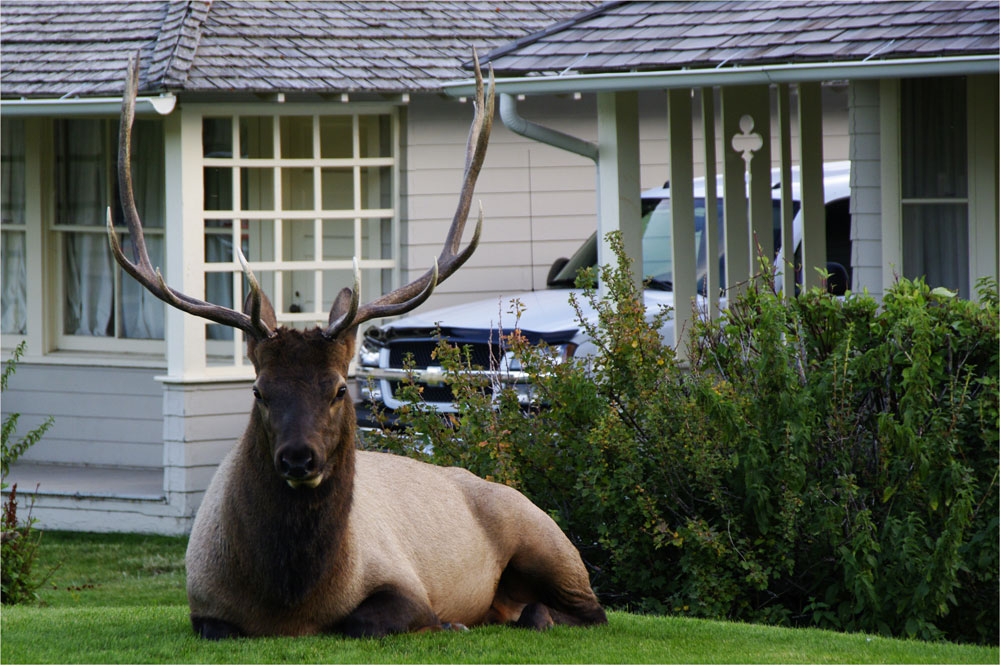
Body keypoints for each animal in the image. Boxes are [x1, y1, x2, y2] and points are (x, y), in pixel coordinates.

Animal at [111, 54, 608, 636]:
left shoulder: (407, 586)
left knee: (591, 609)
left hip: (547, 536)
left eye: (338, 389)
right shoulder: (205, 609)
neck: (290, 602)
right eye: (259, 391)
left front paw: (449, 624)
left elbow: (365, 621)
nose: (298, 458)